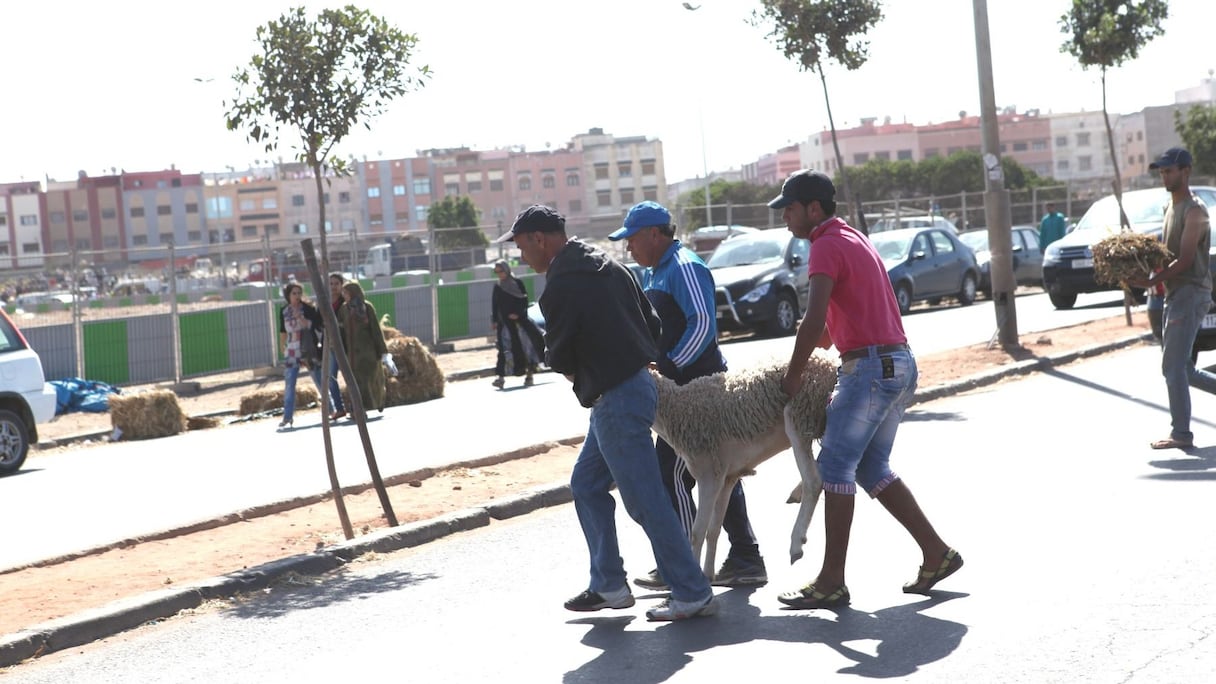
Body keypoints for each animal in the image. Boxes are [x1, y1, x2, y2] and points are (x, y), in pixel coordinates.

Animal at [651, 348, 841, 576]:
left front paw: (699, 576)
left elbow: (697, 532)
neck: (677, 410)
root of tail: (830, 363)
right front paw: (708, 574)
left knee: (814, 481)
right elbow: (713, 530)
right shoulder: (727, 477)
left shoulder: (709, 474)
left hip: (800, 413)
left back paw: (796, 543)